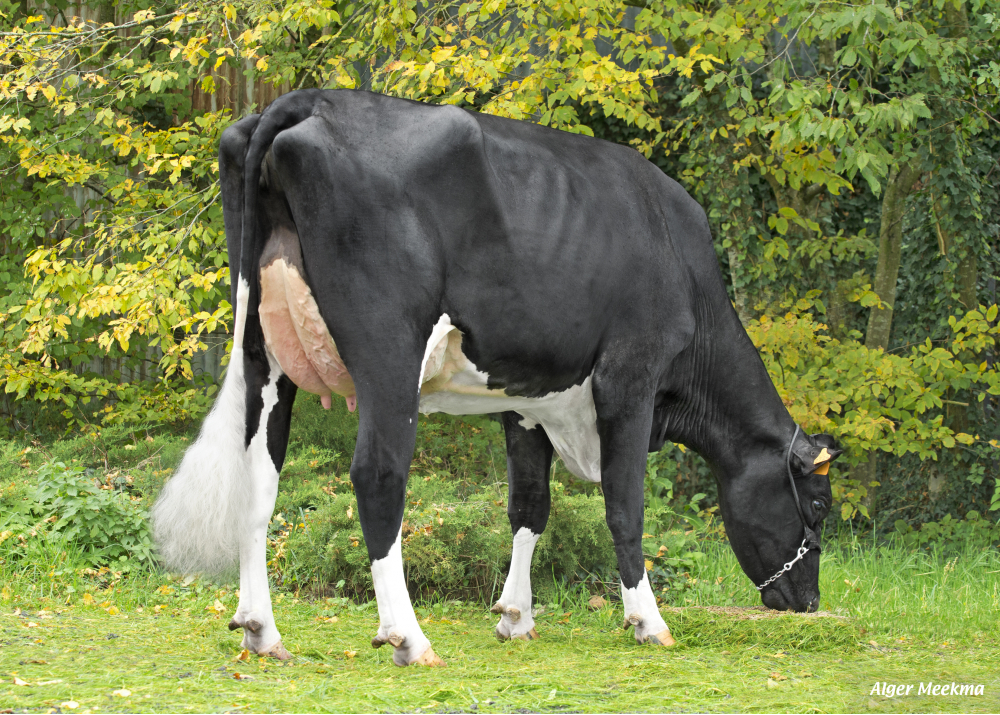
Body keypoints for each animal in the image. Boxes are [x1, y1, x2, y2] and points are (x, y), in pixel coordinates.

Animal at [152, 88, 844, 664]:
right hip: (388, 348)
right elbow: (624, 504)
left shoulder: (529, 398)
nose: (808, 602)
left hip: (262, 352)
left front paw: (515, 616)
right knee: (377, 474)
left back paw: (262, 631)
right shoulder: (630, 378)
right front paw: (647, 621)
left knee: (259, 477)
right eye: (817, 504)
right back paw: (409, 638)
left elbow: (529, 507)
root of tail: (307, 99)